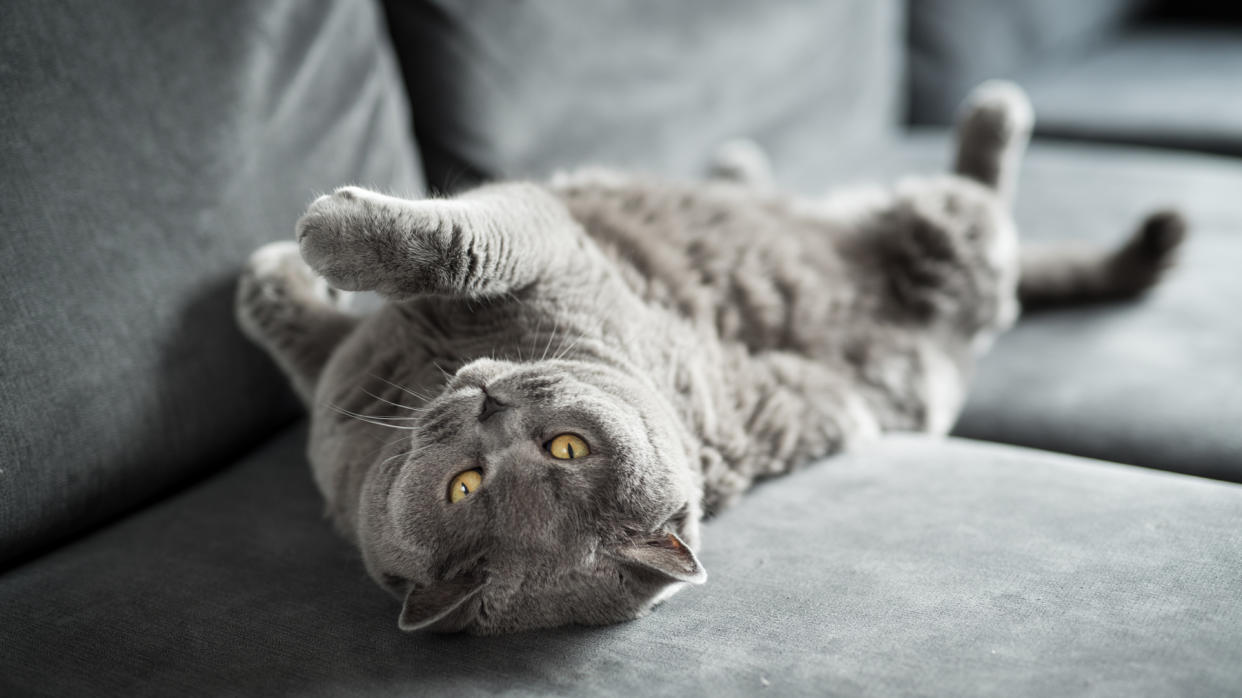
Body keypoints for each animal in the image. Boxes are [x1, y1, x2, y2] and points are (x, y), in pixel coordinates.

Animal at [234, 80, 1182, 630]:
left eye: (565, 448)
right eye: (467, 487)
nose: (490, 408)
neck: (419, 372)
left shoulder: (553, 249)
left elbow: (461, 242)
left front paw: (312, 239)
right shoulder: (345, 384)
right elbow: (296, 324)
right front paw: (272, 275)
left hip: (951, 236)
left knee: (984, 200)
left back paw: (994, 110)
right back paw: (739, 162)